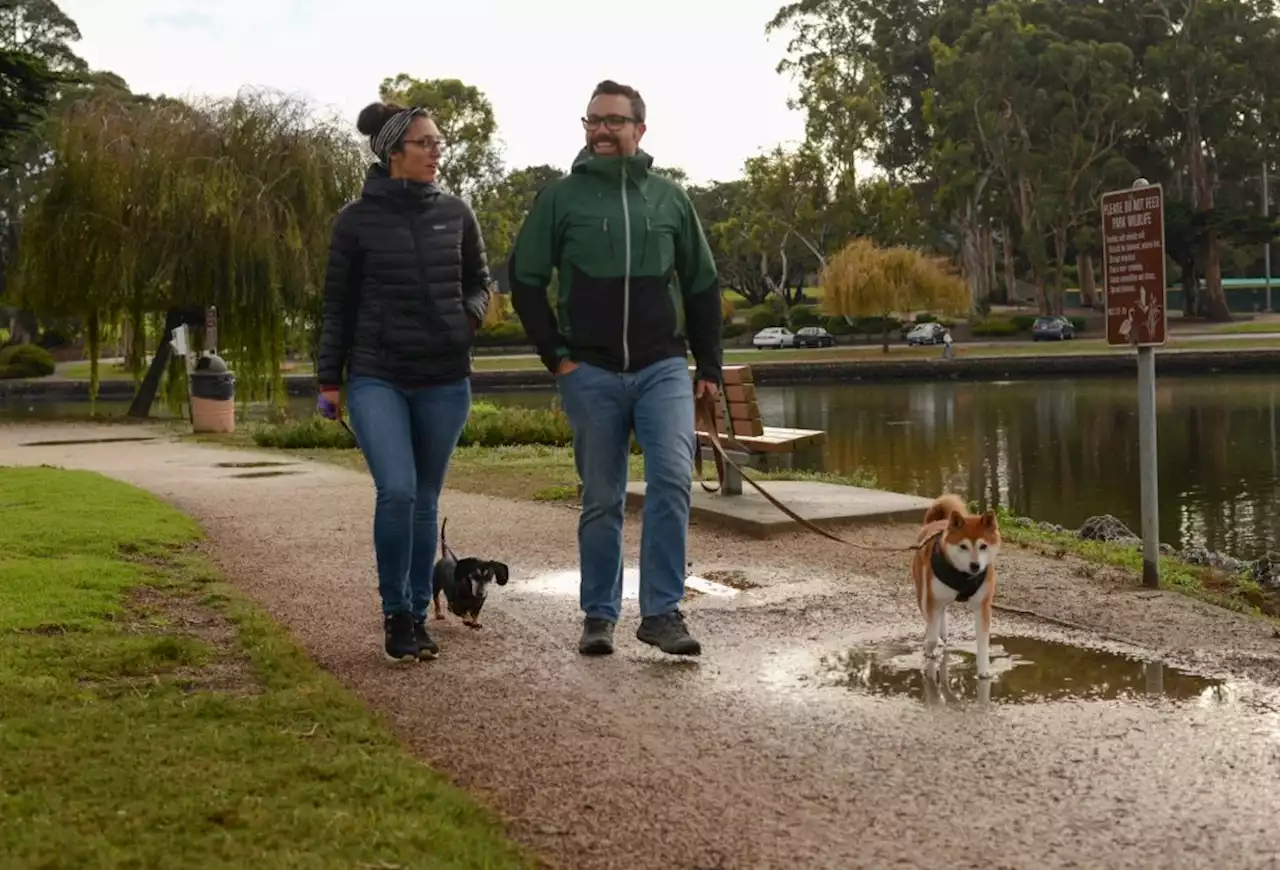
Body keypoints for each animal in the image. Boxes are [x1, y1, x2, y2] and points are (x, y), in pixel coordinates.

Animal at [911, 496, 998, 680]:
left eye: (983, 546)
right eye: (963, 546)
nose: (975, 565)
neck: (963, 576)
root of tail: (935, 523)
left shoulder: (983, 606)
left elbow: (983, 643)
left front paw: (984, 671)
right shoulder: (932, 599)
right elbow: (931, 637)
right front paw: (929, 650)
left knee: (943, 612)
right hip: (923, 594)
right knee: (932, 617)